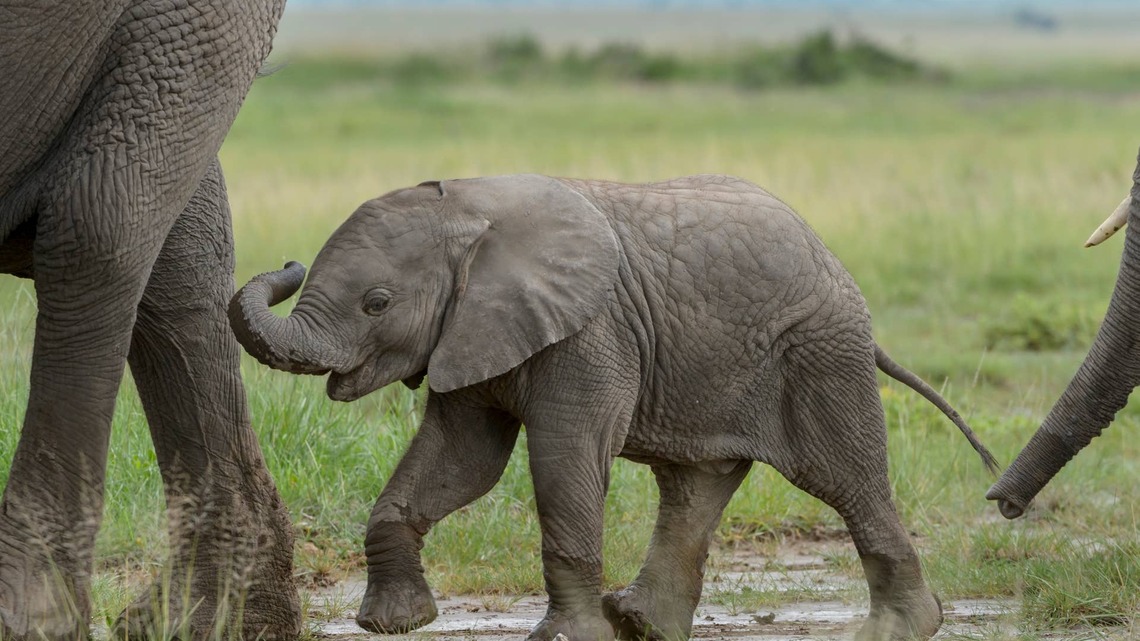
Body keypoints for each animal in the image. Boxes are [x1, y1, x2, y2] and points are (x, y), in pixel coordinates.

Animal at [230, 173, 998, 641]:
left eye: (377, 303)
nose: (287, 263)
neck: (470, 207)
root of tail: (832, 258)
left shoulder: (589, 332)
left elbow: (563, 458)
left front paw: (564, 637)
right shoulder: (473, 329)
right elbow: (461, 460)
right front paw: (395, 622)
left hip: (818, 350)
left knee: (846, 479)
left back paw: (900, 629)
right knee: (693, 486)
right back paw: (642, 623)